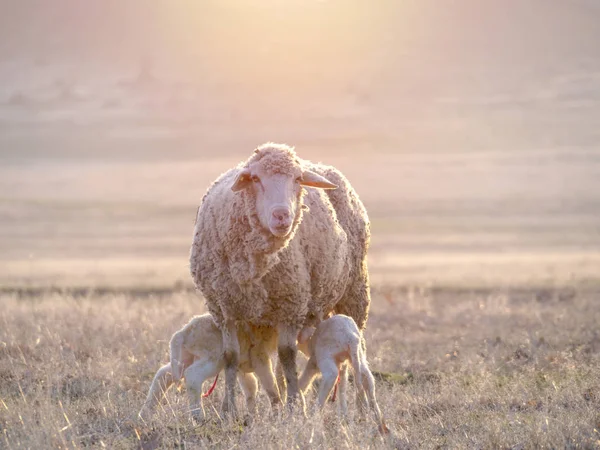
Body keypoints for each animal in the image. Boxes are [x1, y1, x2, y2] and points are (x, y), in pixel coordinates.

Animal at [139, 312, 282, 422]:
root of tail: (183, 332)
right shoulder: (259, 357)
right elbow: (269, 383)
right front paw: (277, 410)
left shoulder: (242, 366)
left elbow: (251, 387)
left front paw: (253, 416)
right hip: (212, 359)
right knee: (192, 376)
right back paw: (198, 417)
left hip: (185, 358)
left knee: (164, 374)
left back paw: (145, 414)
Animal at [191, 143, 370, 414]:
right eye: (255, 178)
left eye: (297, 179)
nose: (282, 215)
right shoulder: (225, 310)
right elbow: (231, 356)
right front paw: (228, 409)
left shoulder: (291, 305)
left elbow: (287, 355)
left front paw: (296, 406)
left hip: (355, 291)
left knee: (357, 352)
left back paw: (359, 406)